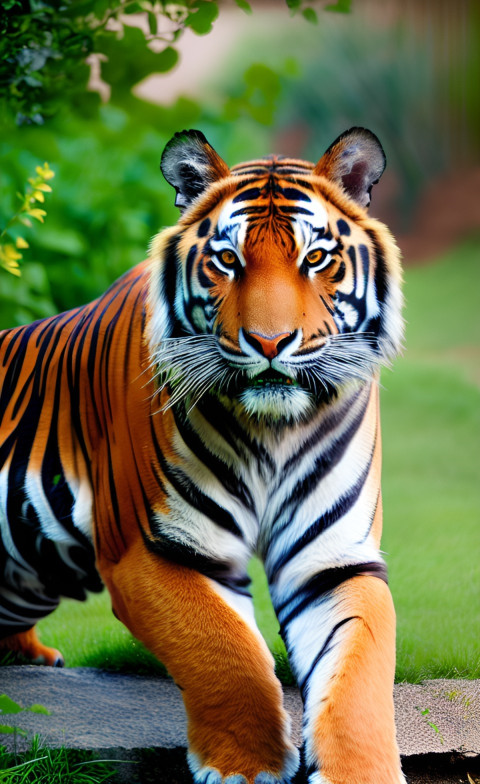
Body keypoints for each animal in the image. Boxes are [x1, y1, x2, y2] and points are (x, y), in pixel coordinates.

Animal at [0, 128, 406, 784]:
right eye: (228, 260)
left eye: (316, 259)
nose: (270, 342)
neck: (275, 431)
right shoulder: (154, 551)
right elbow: (223, 651)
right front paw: (248, 765)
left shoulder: (335, 560)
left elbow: (360, 677)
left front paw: (360, 772)